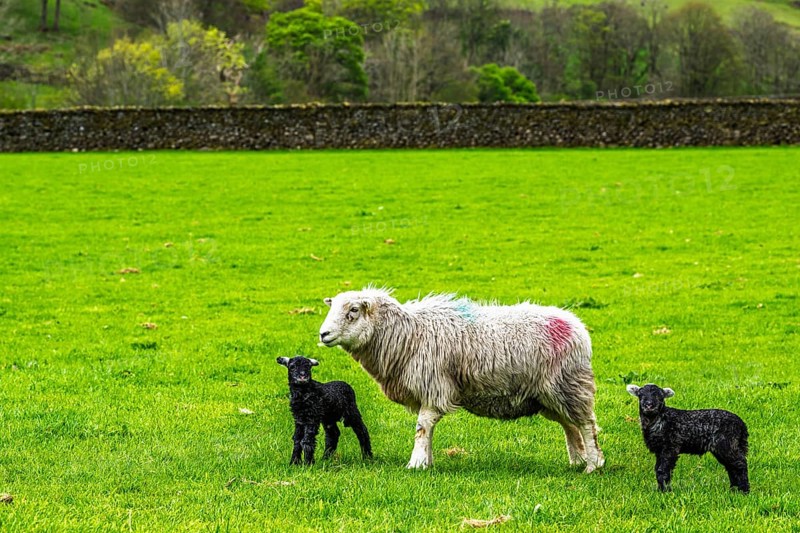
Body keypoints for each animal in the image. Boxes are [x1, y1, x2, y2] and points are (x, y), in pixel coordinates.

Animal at [318, 287, 604, 472]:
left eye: (354, 310)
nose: (323, 334)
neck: (408, 334)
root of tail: (577, 326)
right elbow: (428, 429)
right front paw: (427, 462)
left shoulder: (435, 387)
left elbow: (422, 426)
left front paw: (416, 463)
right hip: (548, 395)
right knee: (569, 425)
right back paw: (578, 461)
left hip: (569, 384)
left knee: (586, 424)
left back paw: (592, 465)